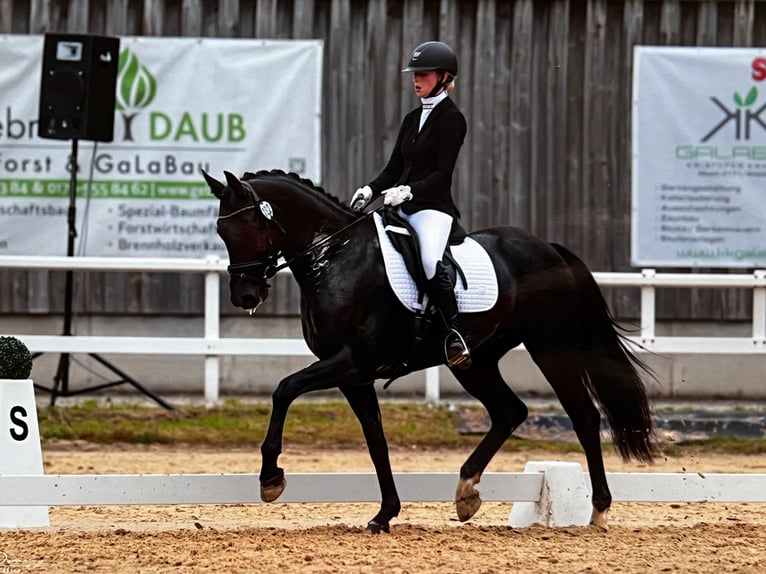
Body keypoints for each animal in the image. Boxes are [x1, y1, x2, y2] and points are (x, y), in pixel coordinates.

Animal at [206, 170, 660, 536]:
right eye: (222, 233)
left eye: (249, 225)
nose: (245, 295)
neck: (334, 259)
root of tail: (547, 247)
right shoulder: (354, 375)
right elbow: (376, 439)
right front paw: (385, 514)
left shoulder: (353, 361)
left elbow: (284, 388)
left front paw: (270, 479)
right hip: (475, 361)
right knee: (510, 411)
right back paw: (466, 491)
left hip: (553, 346)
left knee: (583, 416)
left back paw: (598, 510)